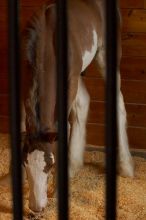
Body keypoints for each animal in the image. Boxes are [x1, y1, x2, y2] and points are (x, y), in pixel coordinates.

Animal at [21, 0, 134, 212]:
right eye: (24, 165)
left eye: (50, 165)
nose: (36, 208)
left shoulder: (70, 79)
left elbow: (63, 127)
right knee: (83, 101)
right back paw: (74, 165)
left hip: (105, 57)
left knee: (119, 104)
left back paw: (126, 167)